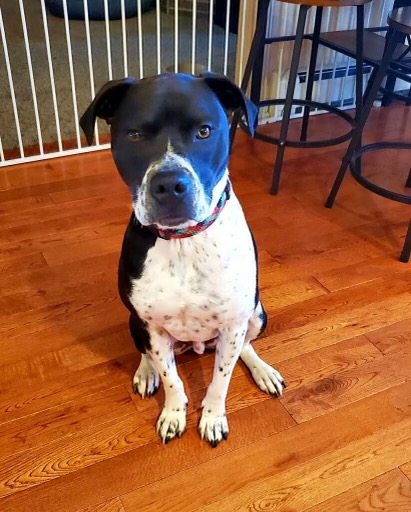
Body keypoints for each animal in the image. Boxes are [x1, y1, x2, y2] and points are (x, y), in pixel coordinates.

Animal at [80, 73, 285, 447]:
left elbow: (221, 380)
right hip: (135, 322)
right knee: (146, 352)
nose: (170, 185)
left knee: (245, 348)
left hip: (257, 313)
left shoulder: (232, 324)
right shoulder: (153, 326)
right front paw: (174, 414)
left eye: (204, 131)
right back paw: (146, 372)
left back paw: (263, 371)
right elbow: (172, 378)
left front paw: (213, 417)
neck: (183, 242)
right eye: (134, 134)